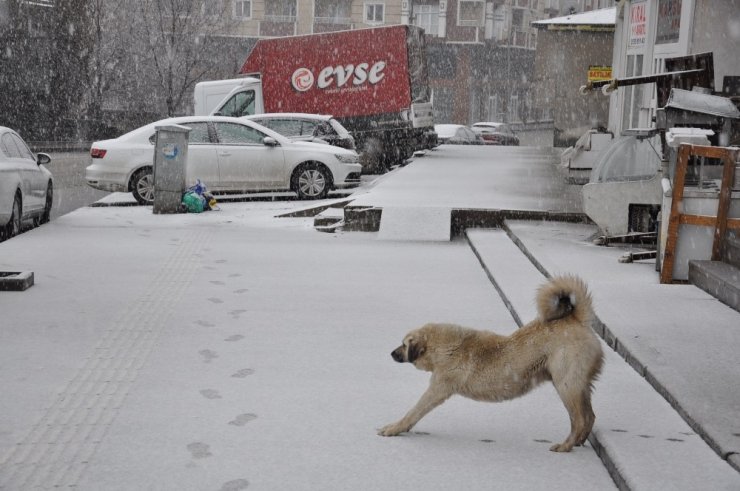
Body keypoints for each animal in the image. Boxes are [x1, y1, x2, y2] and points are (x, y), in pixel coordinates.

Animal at [378, 274, 604, 452]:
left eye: (404, 345)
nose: (391, 353)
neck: (445, 347)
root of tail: (577, 319)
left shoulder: (437, 389)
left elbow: (413, 412)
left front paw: (393, 428)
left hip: (566, 384)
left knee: (580, 419)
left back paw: (565, 446)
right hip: (577, 385)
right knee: (590, 416)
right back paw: (578, 442)